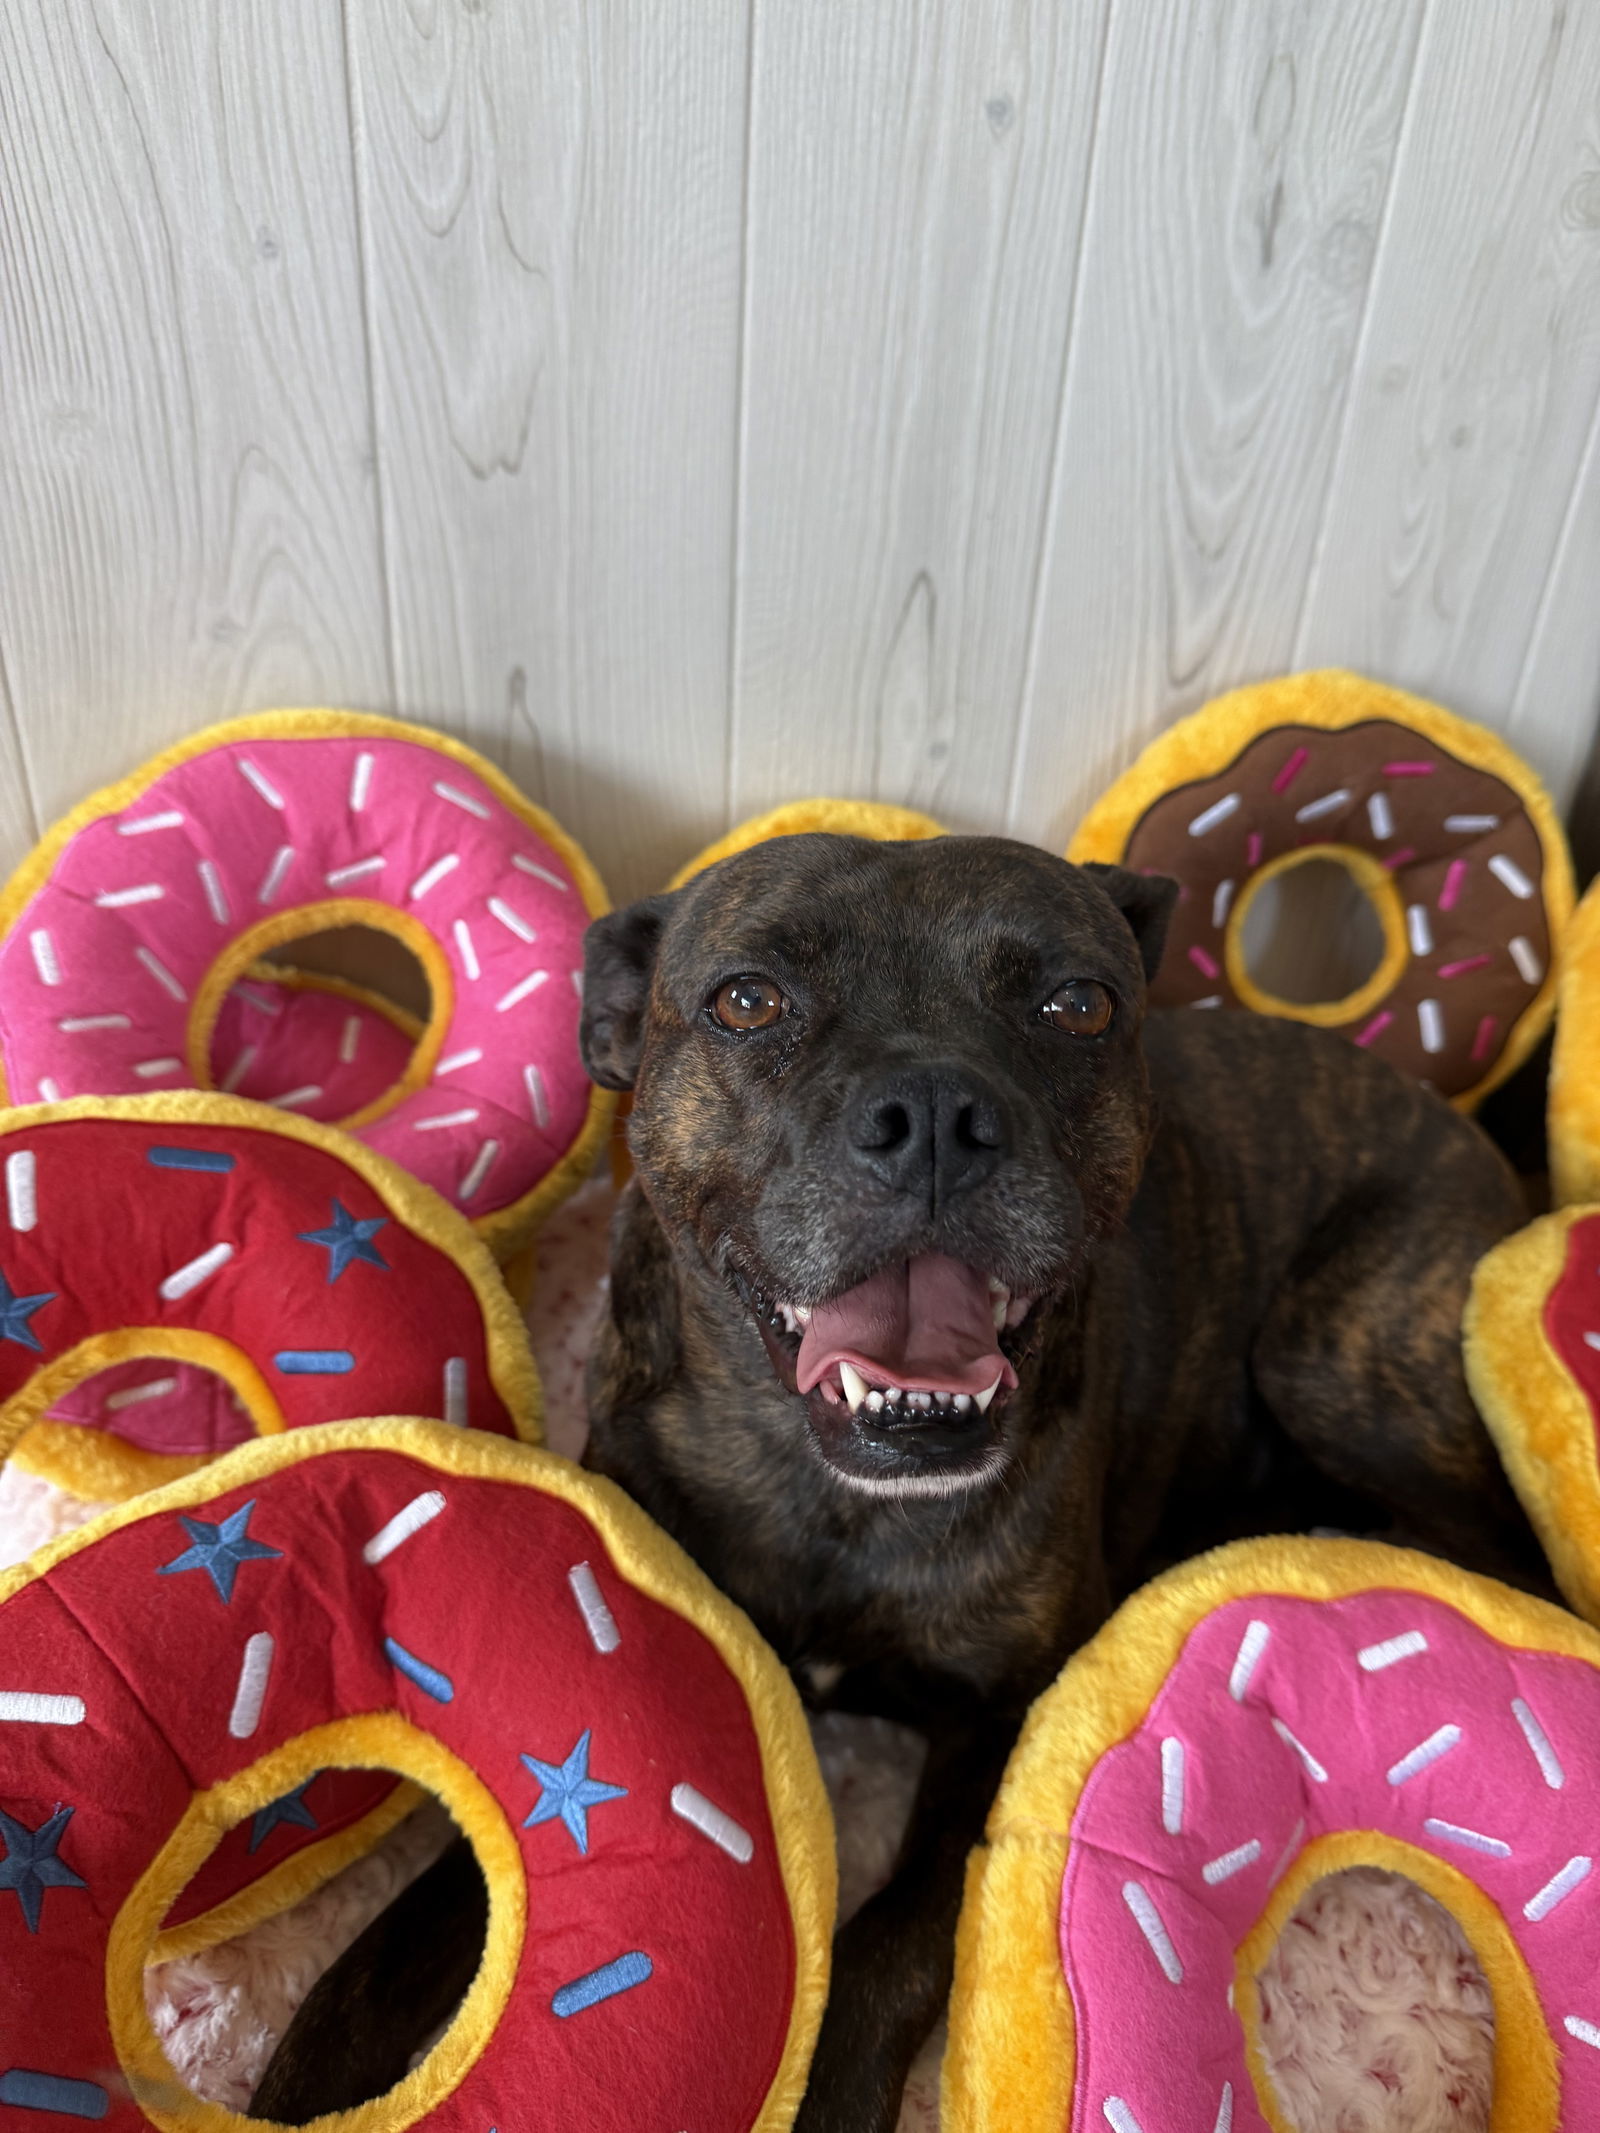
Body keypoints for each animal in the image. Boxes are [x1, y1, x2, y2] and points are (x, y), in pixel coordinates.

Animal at [257, 831, 1544, 2133]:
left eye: (1078, 1005)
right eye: (747, 1000)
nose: (933, 1114)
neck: (828, 1492)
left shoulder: (1005, 1718)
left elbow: (896, 1940)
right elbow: (416, 1917)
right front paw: (300, 2079)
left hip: (1324, 1354)